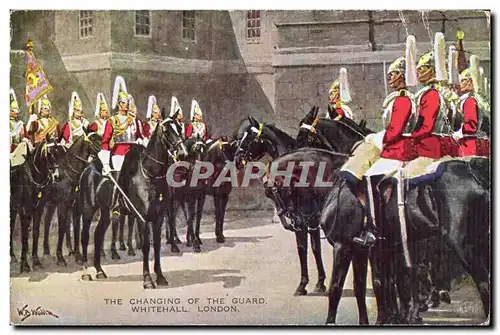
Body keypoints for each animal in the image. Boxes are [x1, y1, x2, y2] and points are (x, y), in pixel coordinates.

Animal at [77, 121, 187, 288]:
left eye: (179, 128)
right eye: (167, 131)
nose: (183, 153)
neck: (149, 175)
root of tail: (88, 169)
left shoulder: (159, 218)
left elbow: (157, 246)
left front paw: (160, 277)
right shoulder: (142, 218)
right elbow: (146, 246)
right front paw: (147, 279)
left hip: (106, 212)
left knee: (98, 235)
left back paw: (99, 270)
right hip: (88, 209)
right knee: (85, 236)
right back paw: (85, 272)